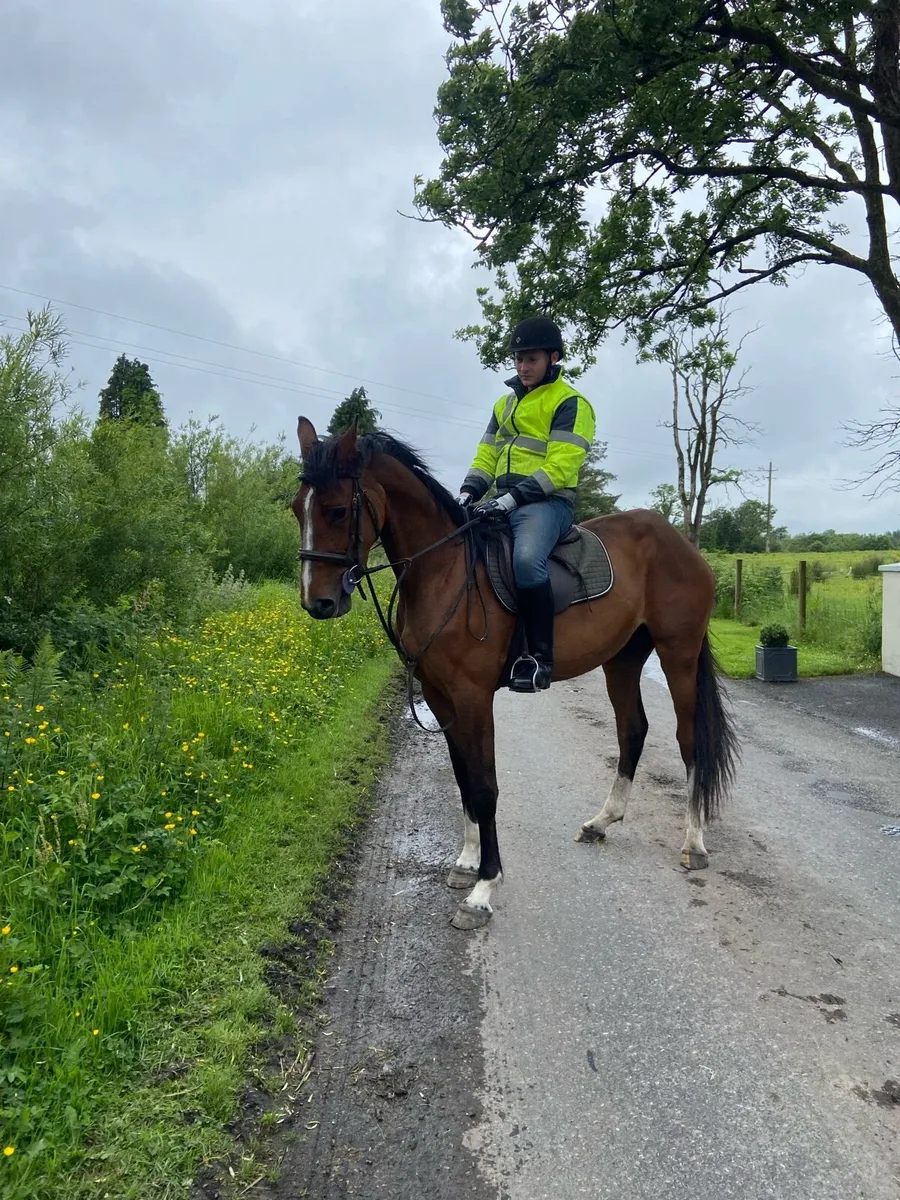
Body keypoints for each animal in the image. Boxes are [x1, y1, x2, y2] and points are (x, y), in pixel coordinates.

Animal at [292, 419, 738, 930]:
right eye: (296, 509)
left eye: (337, 510)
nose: (318, 602)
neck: (445, 572)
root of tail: (681, 544)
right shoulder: (439, 695)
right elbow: (463, 777)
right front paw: (466, 863)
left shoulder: (472, 696)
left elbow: (485, 787)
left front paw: (484, 889)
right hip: (623, 659)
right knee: (633, 731)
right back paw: (602, 822)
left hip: (678, 654)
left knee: (689, 740)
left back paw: (694, 843)